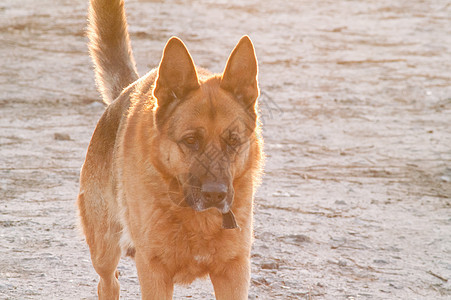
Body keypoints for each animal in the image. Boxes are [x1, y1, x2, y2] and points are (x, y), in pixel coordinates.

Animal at [76, 0, 264, 298]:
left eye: (233, 141)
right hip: (104, 250)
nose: (216, 195)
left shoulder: (234, 273)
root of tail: (126, 90)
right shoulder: (154, 272)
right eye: (190, 140)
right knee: (108, 282)